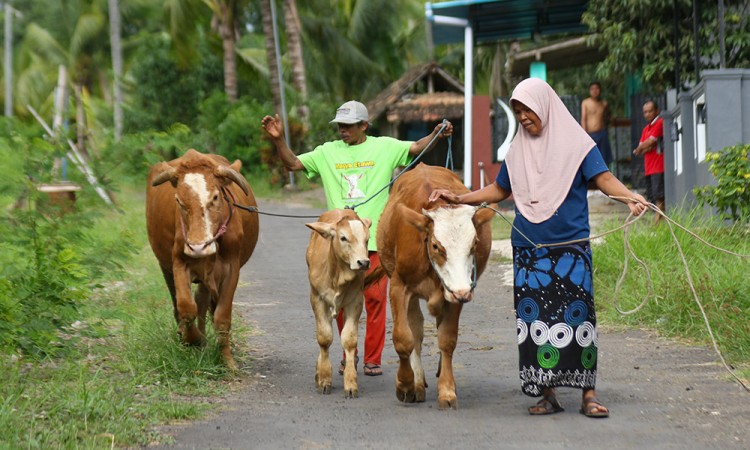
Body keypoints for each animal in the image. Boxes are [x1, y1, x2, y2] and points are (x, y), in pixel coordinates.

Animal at [145, 149, 260, 370]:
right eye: (179, 201)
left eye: (215, 197)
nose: (199, 247)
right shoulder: (179, 263)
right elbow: (186, 307)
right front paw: (193, 339)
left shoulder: (232, 269)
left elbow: (221, 316)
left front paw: (227, 361)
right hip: (165, 267)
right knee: (183, 305)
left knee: (204, 301)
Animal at [306, 207, 374, 398]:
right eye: (343, 238)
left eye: (367, 239)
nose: (363, 262)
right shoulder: (317, 298)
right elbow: (324, 337)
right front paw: (324, 379)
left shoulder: (356, 301)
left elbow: (349, 340)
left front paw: (350, 383)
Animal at [378, 163, 496, 410]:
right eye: (436, 246)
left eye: (474, 243)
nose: (462, 292)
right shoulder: (399, 285)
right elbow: (404, 338)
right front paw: (405, 384)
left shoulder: (457, 292)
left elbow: (447, 339)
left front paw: (447, 390)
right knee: (416, 328)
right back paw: (417, 382)